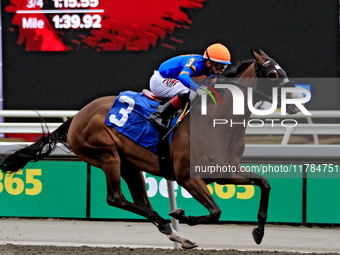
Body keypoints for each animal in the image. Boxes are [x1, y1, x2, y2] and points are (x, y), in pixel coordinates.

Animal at [0, 48, 300, 248]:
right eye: (272, 73)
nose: (297, 102)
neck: (218, 119)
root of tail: (76, 117)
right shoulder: (187, 176)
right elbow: (216, 212)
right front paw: (182, 214)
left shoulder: (222, 172)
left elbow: (264, 184)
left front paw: (259, 232)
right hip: (107, 155)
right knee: (116, 199)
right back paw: (169, 222)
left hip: (130, 164)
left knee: (139, 200)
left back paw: (174, 232)